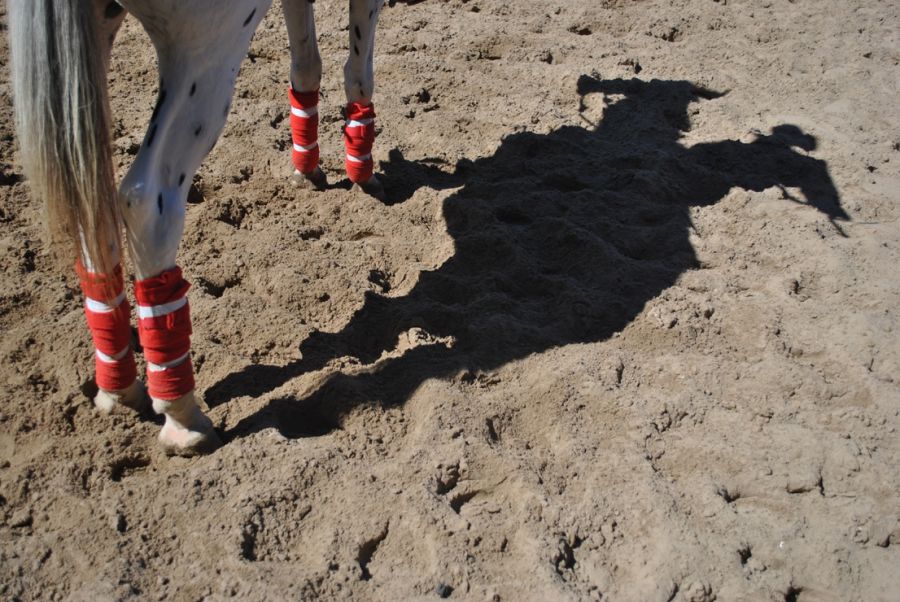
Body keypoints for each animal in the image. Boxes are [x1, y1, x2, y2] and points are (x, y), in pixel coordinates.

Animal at [7, 1, 386, 454]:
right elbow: (358, 72)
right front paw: (362, 170)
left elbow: (306, 65)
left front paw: (307, 167)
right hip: (201, 58)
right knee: (148, 205)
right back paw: (182, 418)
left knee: (91, 201)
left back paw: (118, 390)